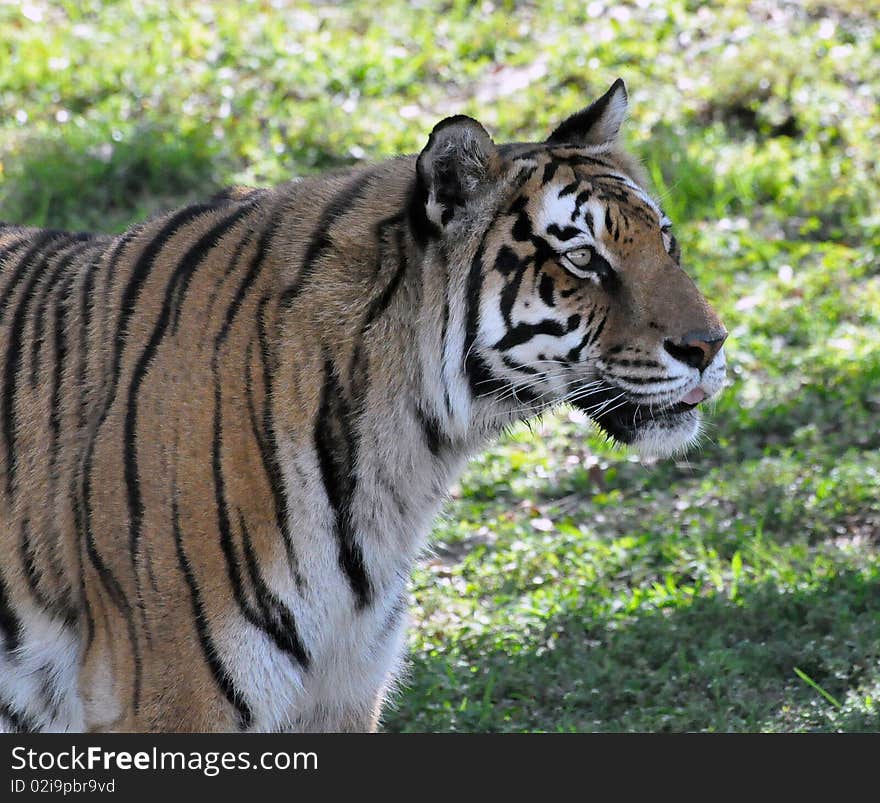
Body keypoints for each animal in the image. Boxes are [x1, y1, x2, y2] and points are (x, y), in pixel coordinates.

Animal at [0, 81, 728, 736]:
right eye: (582, 258)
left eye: (666, 241)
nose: (711, 345)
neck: (407, 460)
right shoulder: (176, 695)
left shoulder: (344, 689)